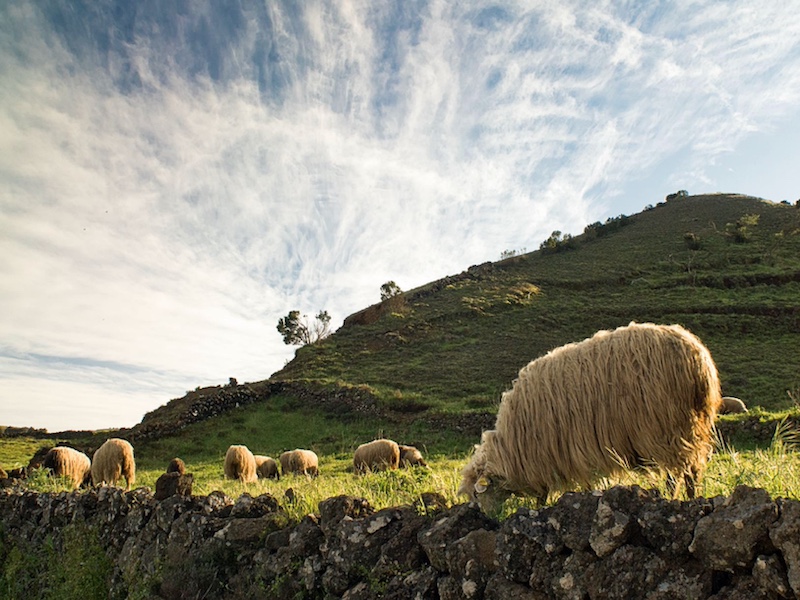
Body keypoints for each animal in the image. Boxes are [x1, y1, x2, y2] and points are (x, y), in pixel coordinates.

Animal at [460, 322, 720, 512]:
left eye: (477, 495)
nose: (486, 517)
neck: (510, 447)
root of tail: (699, 360)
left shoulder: (559, 452)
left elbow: (552, 489)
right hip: (693, 425)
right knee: (693, 470)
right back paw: (691, 496)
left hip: (668, 427)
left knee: (678, 473)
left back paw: (672, 498)